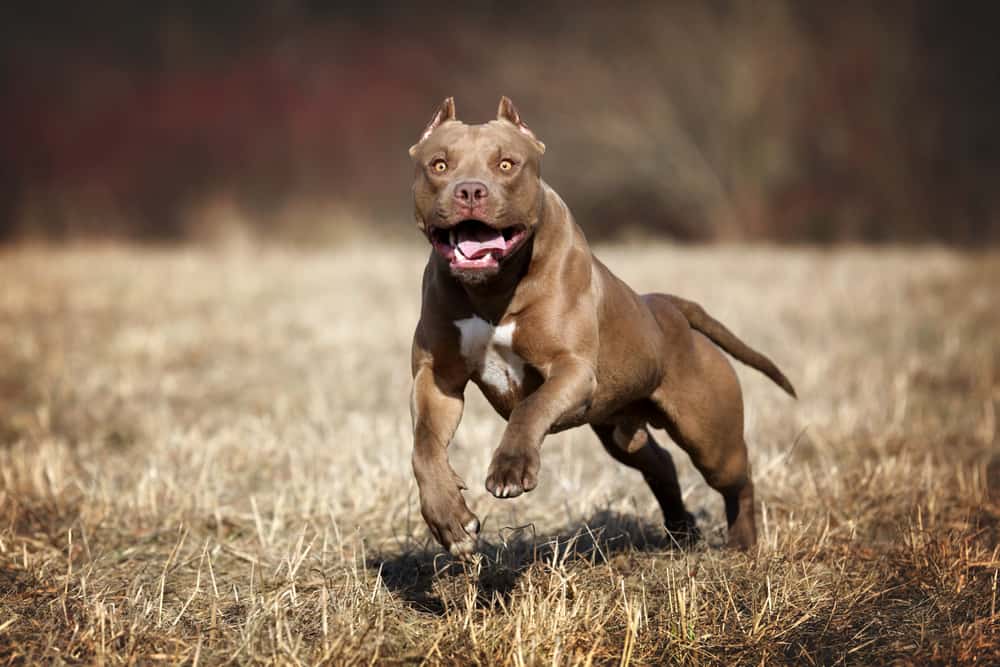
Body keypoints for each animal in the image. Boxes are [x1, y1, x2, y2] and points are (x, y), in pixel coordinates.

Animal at [406, 96, 796, 556]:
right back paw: (681, 531)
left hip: (711, 439)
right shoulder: (438, 379)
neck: (492, 289)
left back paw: (742, 542)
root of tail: (667, 307)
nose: (470, 190)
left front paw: (511, 467)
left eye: (506, 164)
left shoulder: (571, 369)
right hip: (620, 432)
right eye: (439, 165)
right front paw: (449, 519)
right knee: (660, 463)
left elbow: (529, 406)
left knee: (739, 478)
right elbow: (424, 447)